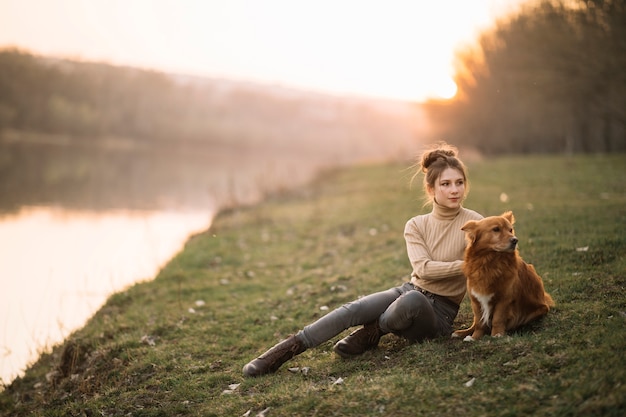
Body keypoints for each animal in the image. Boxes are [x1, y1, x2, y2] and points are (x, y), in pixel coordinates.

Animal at [454, 210, 552, 340]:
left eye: (510, 230)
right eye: (496, 229)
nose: (515, 240)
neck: (489, 262)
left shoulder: (504, 299)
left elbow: (498, 319)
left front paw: (497, 335)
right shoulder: (476, 299)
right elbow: (479, 322)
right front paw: (475, 337)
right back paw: (461, 332)